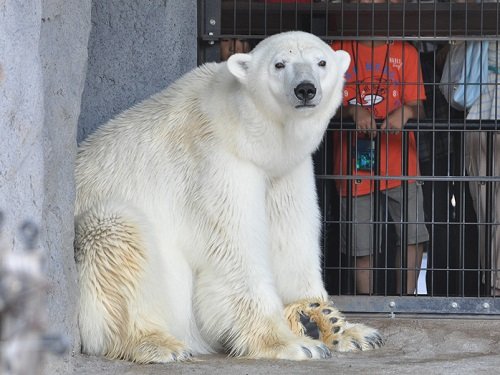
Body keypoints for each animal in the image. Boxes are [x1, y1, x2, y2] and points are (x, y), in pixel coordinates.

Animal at [74, 30, 382, 362]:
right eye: (279, 64)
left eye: (321, 62)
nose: (305, 89)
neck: (247, 129)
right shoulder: (216, 163)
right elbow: (233, 251)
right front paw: (292, 343)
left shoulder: (285, 170)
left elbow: (290, 237)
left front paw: (339, 326)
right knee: (115, 235)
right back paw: (159, 343)